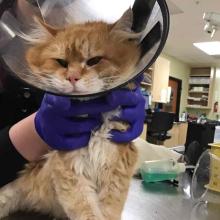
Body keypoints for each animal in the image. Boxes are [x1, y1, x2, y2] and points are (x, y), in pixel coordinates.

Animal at [0, 7, 141, 219]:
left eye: (94, 61)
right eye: (61, 62)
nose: (72, 78)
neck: (94, 124)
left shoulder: (115, 167)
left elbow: (108, 209)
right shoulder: (71, 168)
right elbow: (86, 209)